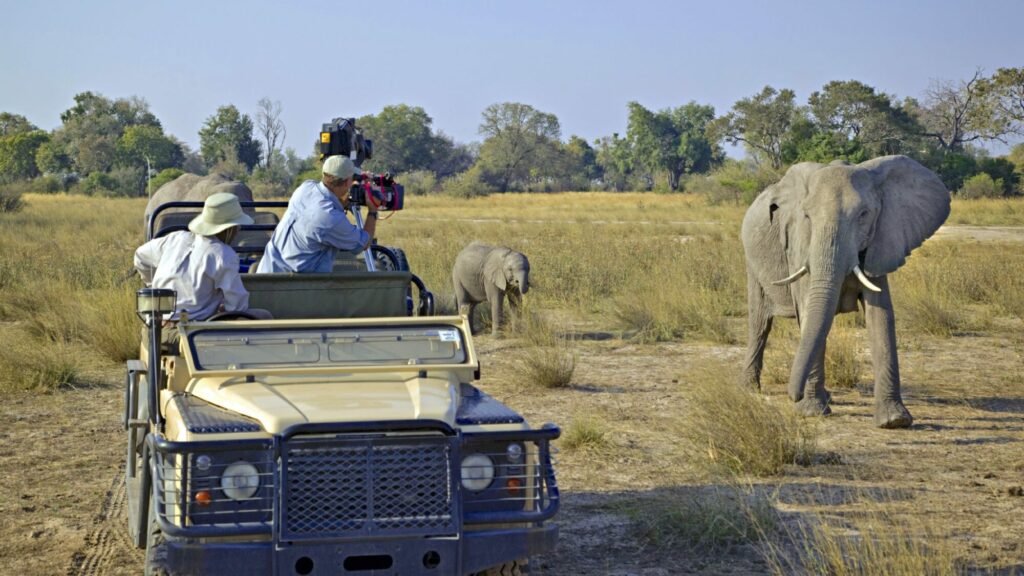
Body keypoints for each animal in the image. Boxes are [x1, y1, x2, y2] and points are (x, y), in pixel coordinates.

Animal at [741, 155, 950, 429]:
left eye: (864, 214)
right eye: (806, 216)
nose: (792, 395)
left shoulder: (880, 242)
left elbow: (881, 316)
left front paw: (894, 420)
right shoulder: (799, 246)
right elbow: (806, 310)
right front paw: (812, 412)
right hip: (752, 263)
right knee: (760, 324)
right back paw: (749, 389)